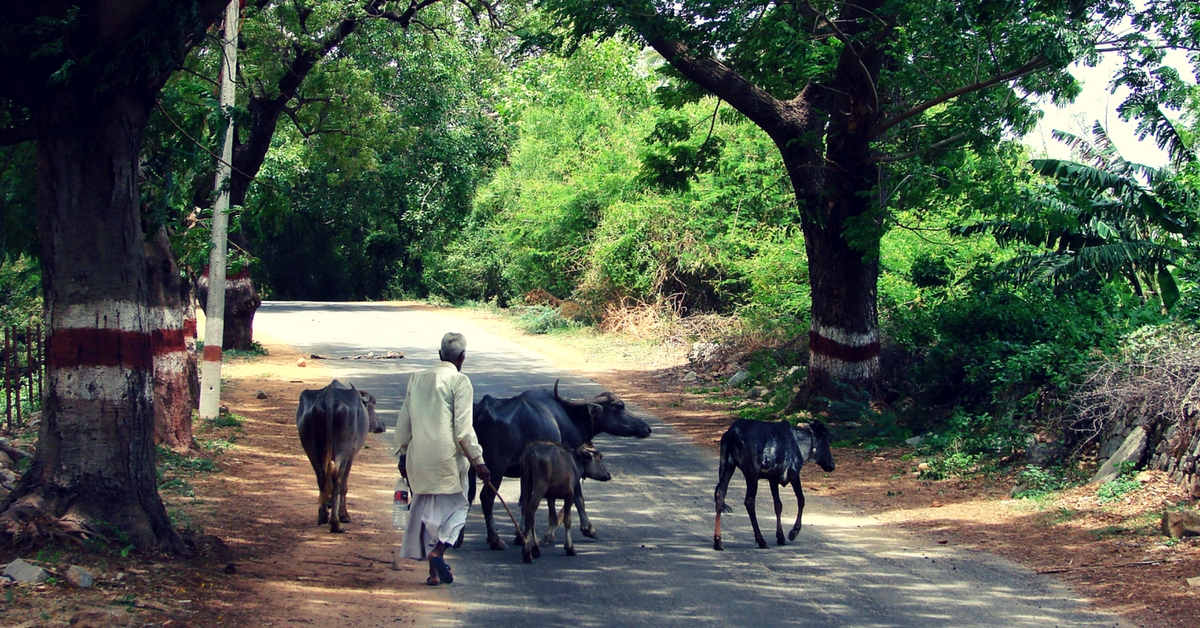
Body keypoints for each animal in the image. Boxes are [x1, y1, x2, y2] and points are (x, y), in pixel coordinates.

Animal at [296, 381, 384, 533]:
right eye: (373, 403)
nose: (382, 426)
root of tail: (329, 399)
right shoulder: (351, 456)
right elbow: (344, 484)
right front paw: (344, 515)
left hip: (311, 449)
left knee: (321, 478)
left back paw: (323, 516)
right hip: (343, 450)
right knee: (337, 478)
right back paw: (336, 523)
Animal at [465, 379, 652, 549]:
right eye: (620, 406)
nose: (647, 428)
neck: (570, 417)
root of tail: (480, 410)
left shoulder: (527, 473)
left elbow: (526, 500)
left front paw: (522, 535)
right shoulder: (571, 467)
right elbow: (576, 497)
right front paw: (587, 528)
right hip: (495, 468)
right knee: (486, 497)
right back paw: (495, 540)